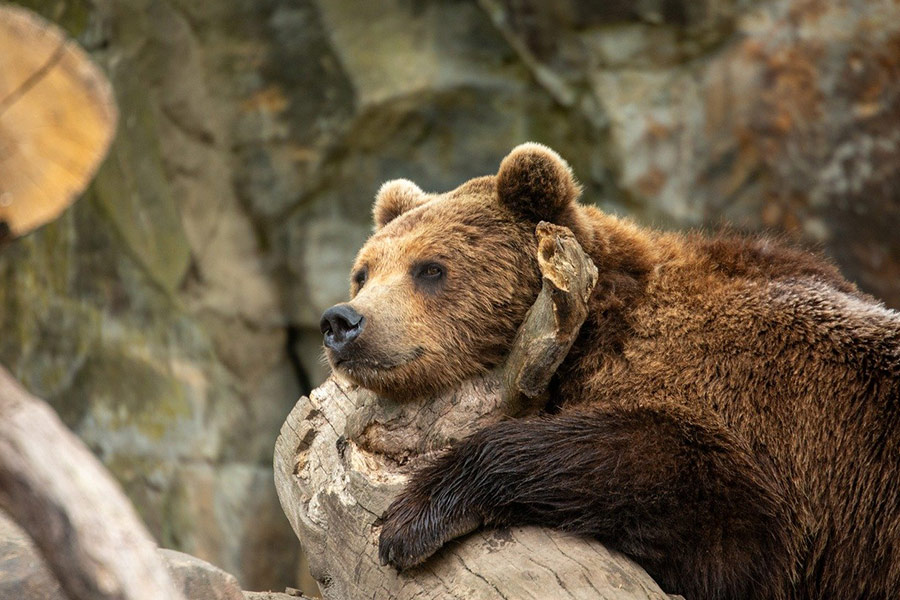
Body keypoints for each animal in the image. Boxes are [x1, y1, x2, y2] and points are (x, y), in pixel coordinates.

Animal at [319, 143, 900, 600]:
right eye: (363, 272)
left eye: (431, 268)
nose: (342, 322)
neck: (588, 331)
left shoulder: (764, 409)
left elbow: (710, 506)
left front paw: (411, 519)